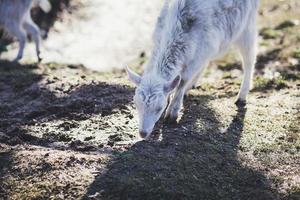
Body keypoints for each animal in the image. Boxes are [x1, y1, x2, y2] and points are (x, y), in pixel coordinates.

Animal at [126, 0, 260, 138]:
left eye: (158, 108)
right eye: (136, 104)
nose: (143, 133)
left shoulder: (201, 51)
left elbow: (183, 80)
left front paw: (172, 114)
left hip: (247, 26)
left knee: (249, 59)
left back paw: (242, 97)